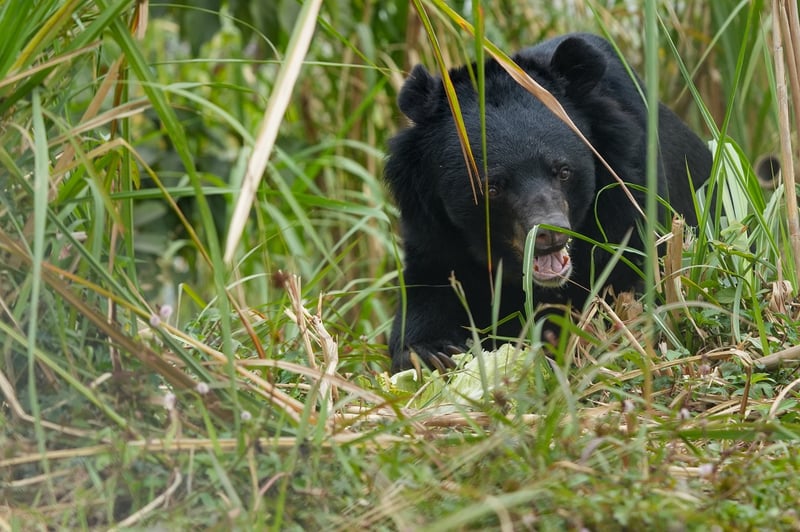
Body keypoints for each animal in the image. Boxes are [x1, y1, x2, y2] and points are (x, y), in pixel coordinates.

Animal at [386, 34, 712, 374]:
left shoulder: (630, 195)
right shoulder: (432, 227)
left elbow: (631, 274)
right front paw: (430, 352)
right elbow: (429, 286)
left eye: (563, 171)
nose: (550, 232)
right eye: (492, 187)